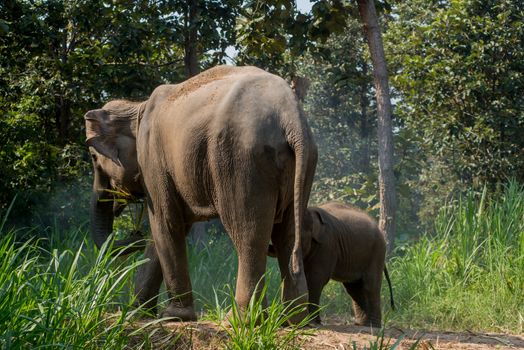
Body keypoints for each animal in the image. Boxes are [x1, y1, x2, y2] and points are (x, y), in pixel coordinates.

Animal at [84, 65, 318, 322]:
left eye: (94, 158)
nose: (134, 234)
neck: (136, 107)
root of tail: (291, 116)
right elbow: (161, 234)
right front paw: (138, 313)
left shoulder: (153, 158)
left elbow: (166, 223)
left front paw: (172, 316)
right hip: (303, 164)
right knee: (287, 233)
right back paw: (292, 320)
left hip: (241, 162)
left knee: (248, 233)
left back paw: (239, 320)